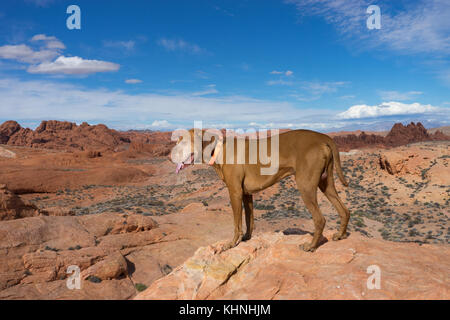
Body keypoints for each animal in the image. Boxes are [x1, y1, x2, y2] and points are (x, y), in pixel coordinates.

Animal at [171, 128, 350, 252]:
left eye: (184, 142)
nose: (170, 156)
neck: (219, 149)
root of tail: (323, 137)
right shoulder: (246, 194)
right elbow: (249, 220)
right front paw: (246, 238)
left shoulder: (235, 193)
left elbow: (236, 223)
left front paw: (232, 243)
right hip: (326, 183)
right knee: (344, 210)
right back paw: (340, 235)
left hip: (305, 186)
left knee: (320, 219)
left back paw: (310, 246)